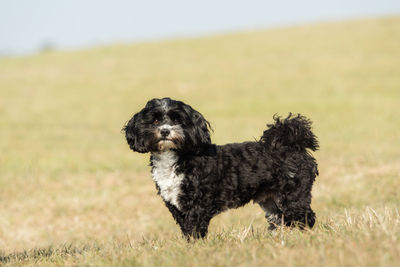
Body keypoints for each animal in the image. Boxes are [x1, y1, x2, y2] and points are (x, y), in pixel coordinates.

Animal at [123, 98, 320, 239]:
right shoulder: (176, 205)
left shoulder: (198, 204)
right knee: (281, 220)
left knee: (306, 218)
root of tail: (291, 144)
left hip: (293, 195)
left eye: (178, 119)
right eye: (155, 120)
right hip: (271, 200)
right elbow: (186, 229)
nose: (165, 131)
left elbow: (194, 229)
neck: (176, 157)